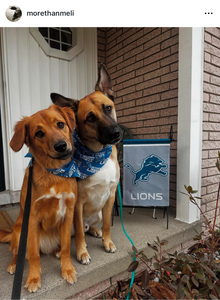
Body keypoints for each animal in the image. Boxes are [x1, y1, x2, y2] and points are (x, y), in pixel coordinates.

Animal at [0, 104, 77, 292]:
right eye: (39, 133)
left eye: (60, 124)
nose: (61, 146)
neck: (55, 173)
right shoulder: (32, 218)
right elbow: (34, 254)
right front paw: (34, 278)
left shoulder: (69, 213)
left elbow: (66, 247)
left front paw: (67, 269)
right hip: (19, 231)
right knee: (19, 253)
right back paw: (14, 265)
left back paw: (56, 251)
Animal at [50, 63, 122, 264]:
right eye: (90, 118)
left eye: (108, 108)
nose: (116, 133)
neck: (97, 154)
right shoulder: (77, 203)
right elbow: (80, 234)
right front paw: (82, 253)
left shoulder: (110, 196)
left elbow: (107, 225)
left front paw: (108, 242)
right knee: (74, 234)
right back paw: (59, 251)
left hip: (98, 213)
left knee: (89, 227)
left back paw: (96, 231)